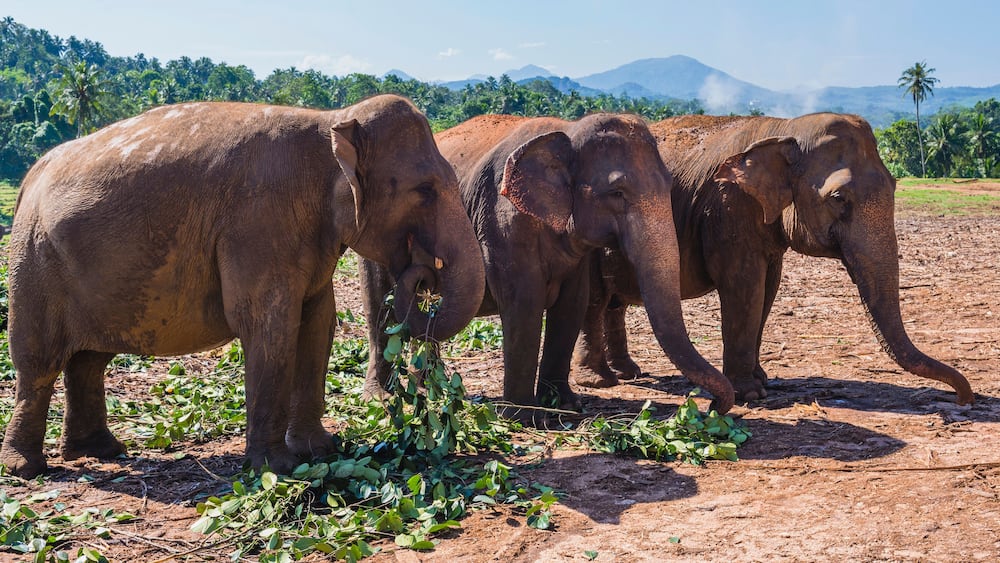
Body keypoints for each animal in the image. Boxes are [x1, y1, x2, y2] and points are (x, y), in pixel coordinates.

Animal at [0, 94, 486, 478]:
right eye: (425, 190)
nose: (424, 273)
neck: (329, 122)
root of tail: (29, 177)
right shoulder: (258, 221)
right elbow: (269, 324)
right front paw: (278, 468)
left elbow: (318, 323)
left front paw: (321, 451)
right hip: (33, 263)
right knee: (39, 363)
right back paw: (28, 469)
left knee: (89, 360)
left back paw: (101, 451)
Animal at [361, 113, 734, 420]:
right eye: (617, 193)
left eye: (670, 186)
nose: (711, 406)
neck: (568, 131)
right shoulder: (502, 222)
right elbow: (524, 303)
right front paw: (521, 415)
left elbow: (572, 304)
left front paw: (564, 404)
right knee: (381, 306)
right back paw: (384, 396)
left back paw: (430, 388)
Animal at [574, 113, 974, 406]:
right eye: (839, 199)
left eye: (894, 186)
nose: (963, 399)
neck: (785, 128)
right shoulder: (729, 208)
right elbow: (744, 287)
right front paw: (749, 394)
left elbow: (768, 290)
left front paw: (762, 379)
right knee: (595, 300)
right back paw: (600, 381)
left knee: (613, 303)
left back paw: (628, 373)